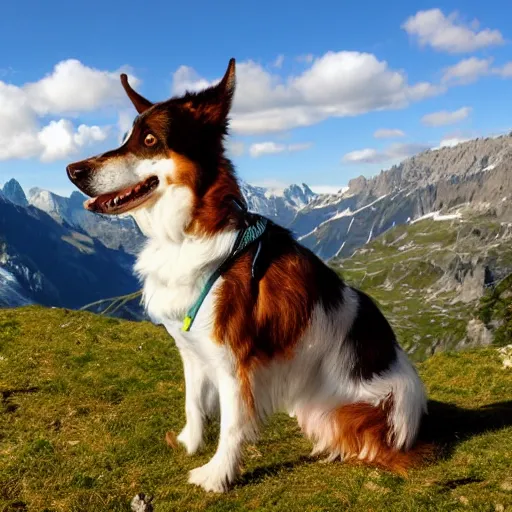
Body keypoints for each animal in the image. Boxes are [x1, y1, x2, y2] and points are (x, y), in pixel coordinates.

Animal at [67, 58, 428, 494]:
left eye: (150, 140)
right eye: (126, 138)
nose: (72, 170)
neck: (189, 234)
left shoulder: (235, 361)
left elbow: (234, 423)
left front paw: (217, 474)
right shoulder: (191, 349)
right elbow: (193, 403)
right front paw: (190, 444)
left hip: (349, 409)